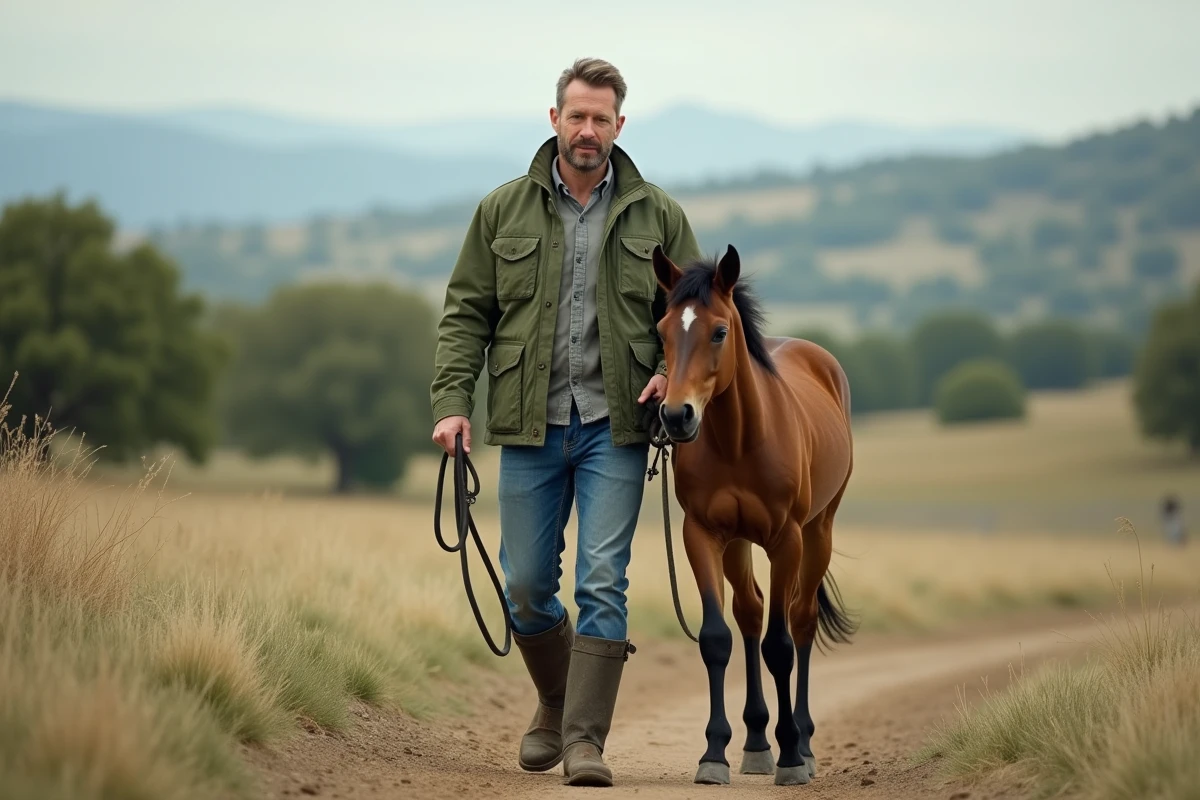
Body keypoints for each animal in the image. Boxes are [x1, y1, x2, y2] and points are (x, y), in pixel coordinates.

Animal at [649, 243, 857, 787]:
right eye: (663, 329)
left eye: (719, 331)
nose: (676, 416)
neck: (740, 439)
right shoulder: (702, 535)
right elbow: (717, 637)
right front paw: (714, 754)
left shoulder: (786, 540)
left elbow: (780, 645)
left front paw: (791, 758)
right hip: (740, 543)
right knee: (750, 612)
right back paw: (757, 741)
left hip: (818, 532)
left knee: (800, 622)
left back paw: (801, 742)